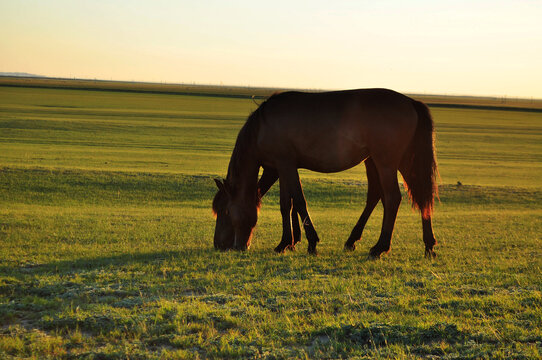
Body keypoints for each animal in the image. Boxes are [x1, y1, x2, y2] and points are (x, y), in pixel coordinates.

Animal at [212, 89, 438, 258]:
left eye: (225, 212)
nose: (220, 245)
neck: (262, 126)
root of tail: (411, 101)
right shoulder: (281, 167)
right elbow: (287, 204)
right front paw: (285, 243)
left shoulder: (285, 165)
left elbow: (298, 201)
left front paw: (310, 242)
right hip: (391, 162)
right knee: (413, 196)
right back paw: (427, 245)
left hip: (386, 163)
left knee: (392, 198)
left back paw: (380, 247)